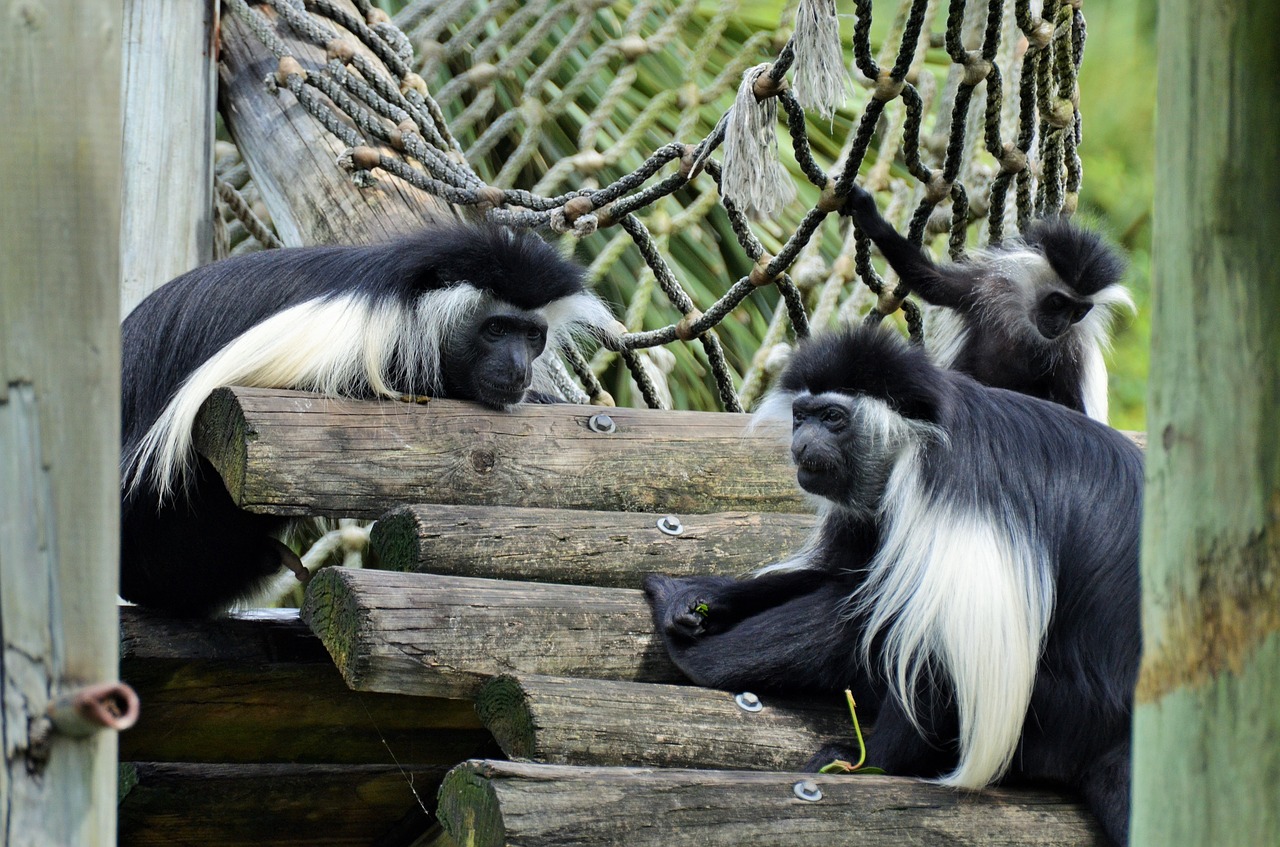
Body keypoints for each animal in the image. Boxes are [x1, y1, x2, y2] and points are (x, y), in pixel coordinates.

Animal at [650, 327, 1141, 844]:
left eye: (833, 418)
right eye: (802, 415)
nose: (801, 443)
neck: (916, 436)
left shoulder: (940, 485)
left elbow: (939, 646)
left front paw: (870, 762)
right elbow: (843, 572)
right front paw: (703, 597)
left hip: (1056, 715)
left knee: (880, 622)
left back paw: (702, 665)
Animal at [839, 186, 1131, 424]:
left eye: (1078, 312)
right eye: (1058, 302)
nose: (1059, 325)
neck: (1024, 319)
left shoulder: (1072, 351)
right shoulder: (985, 286)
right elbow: (933, 282)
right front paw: (868, 214)